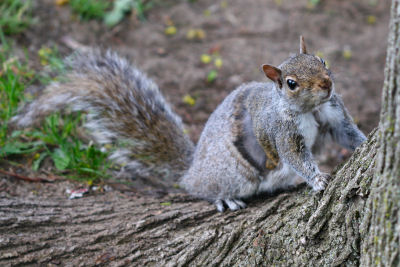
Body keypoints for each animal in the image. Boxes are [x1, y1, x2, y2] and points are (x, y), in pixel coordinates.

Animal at [12, 37, 366, 214]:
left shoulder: (334, 114)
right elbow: (295, 157)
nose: (327, 84)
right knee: (198, 190)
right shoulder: (280, 131)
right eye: (291, 83)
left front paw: (365, 144)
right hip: (232, 173)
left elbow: (348, 133)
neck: (312, 109)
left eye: (321, 60)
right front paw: (317, 178)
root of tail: (191, 168)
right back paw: (221, 198)